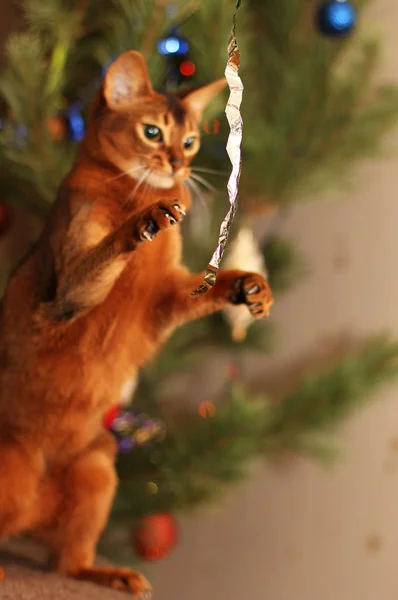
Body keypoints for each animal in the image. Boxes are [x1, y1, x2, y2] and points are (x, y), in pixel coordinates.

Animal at [0, 50, 274, 596]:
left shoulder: (165, 301)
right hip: (9, 462)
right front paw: (144, 220)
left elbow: (213, 284)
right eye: (152, 132)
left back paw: (112, 573)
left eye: (189, 140)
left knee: (65, 562)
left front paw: (249, 286)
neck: (131, 189)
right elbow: (107, 249)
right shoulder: (66, 296)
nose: (179, 165)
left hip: (97, 467)